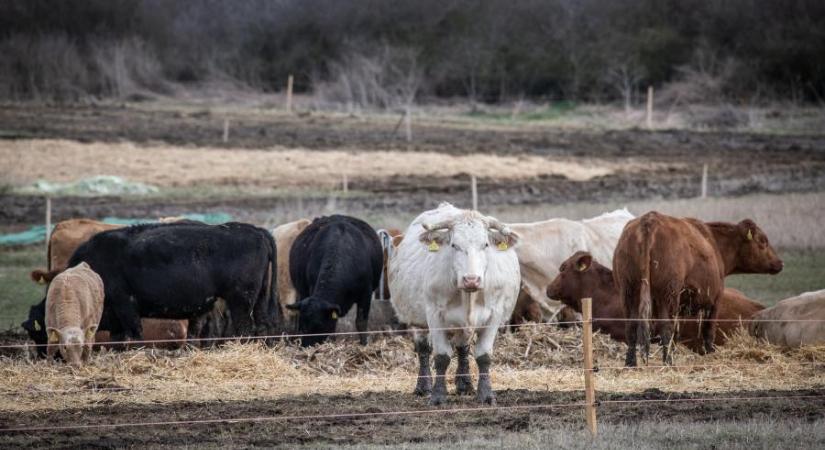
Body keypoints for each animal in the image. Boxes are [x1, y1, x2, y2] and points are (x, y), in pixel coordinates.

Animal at [22, 221, 276, 348]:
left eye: (40, 333)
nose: (51, 357)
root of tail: (255, 230)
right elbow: (118, 341)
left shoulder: (125, 305)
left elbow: (136, 336)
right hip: (258, 299)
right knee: (261, 326)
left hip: (240, 300)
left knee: (243, 329)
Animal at [286, 216, 384, 346]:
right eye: (303, 326)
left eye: (319, 325)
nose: (305, 346)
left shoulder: (366, 294)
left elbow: (361, 322)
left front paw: (364, 344)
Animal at [390, 202, 520, 406]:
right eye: (454, 245)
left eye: (485, 244)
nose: (471, 279)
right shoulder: (434, 315)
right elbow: (441, 357)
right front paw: (438, 396)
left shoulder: (494, 315)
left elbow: (484, 356)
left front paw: (486, 395)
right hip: (417, 320)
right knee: (423, 349)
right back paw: (424, 387)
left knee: (462, 348)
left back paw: (464, 385)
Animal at [612, 212, 780, 366]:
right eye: (763, 241)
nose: (780, 263)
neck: (713, 243)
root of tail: (649, 220)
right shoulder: (716, 298)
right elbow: (708, 330)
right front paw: (710, 353)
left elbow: (677, 333)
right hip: (667, 294)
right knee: (665, 327)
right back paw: (668, 362)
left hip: (629, 292)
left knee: (632, 326)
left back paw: (631, 363)